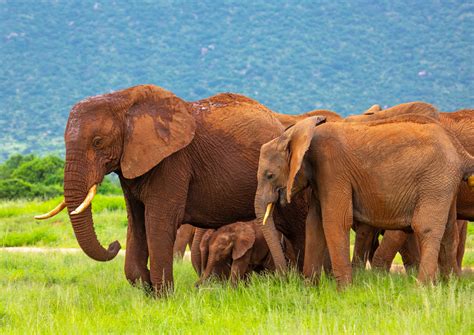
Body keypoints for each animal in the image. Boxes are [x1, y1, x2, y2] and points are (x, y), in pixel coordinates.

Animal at [256, 109, 474, 290]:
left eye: (269, 175)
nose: (284, 280)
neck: (299, 133)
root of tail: (459, 151)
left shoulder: (332, 170)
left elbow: (335, 221)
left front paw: (343, 292)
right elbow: (314, 223)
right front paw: (310, 290)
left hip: (435, 180)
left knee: (425, 227)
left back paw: (421, 289)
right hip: (445, 184)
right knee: (449, 231)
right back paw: (449, 286)